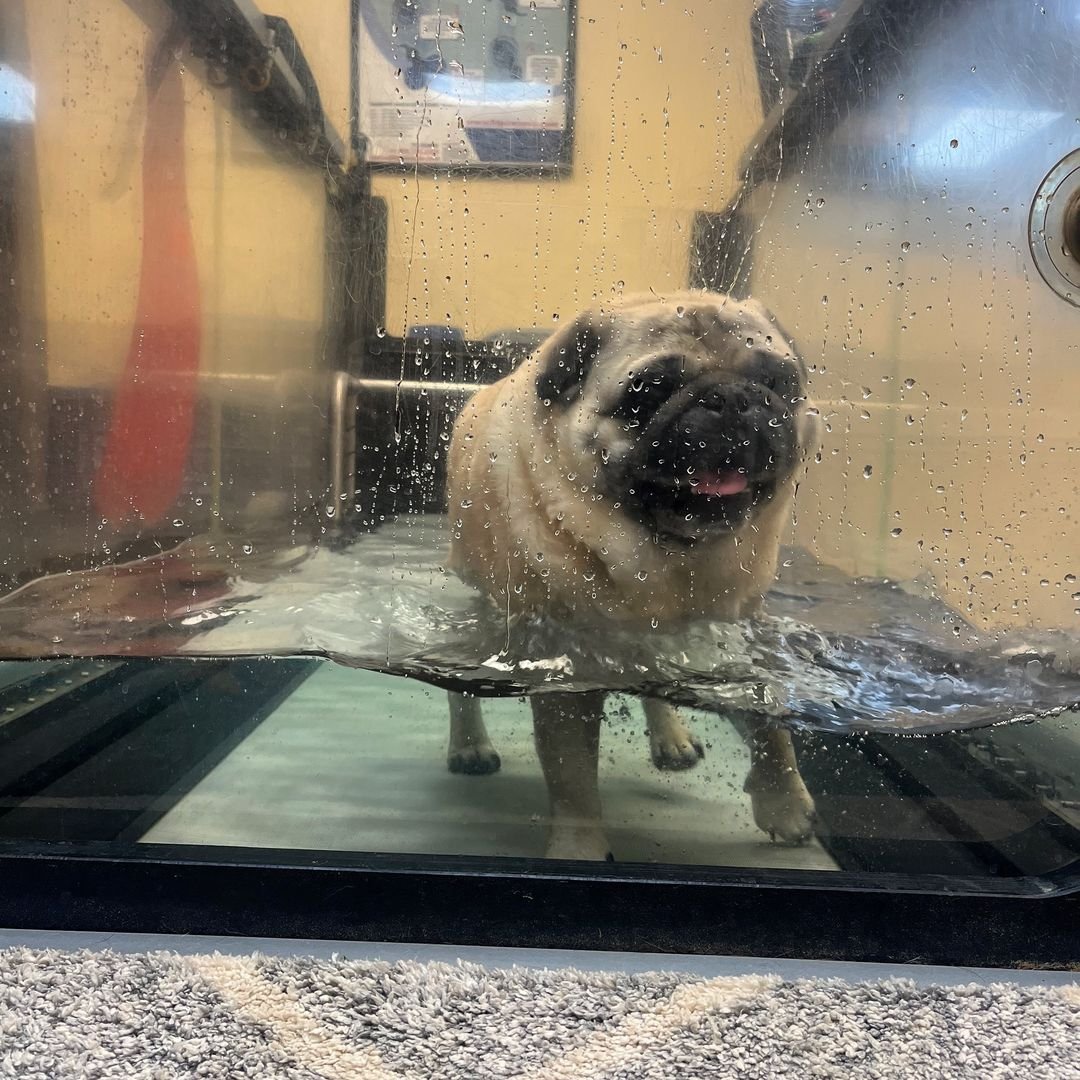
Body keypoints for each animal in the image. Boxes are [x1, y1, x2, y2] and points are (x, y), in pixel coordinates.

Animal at [442, 289, 812, 859]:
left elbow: (771, 721)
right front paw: (579, 849)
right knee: (462, 689)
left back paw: (671, 737)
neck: (673, 561)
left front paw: (783, 802)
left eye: (776, 381)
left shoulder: (745, 633)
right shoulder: (567, 669)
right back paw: (469, 746)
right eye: (649, 392)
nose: (730, 397)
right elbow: (572, 776)